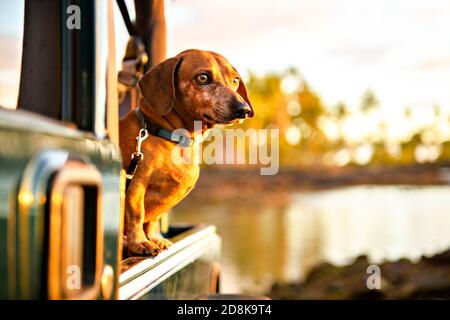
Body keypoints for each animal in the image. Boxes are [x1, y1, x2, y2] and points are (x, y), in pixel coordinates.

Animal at [119, 49, 253, 255]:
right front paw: (140, 242)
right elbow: (136, 214)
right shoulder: (136, 184)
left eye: (235, 80)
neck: (171, 138)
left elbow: (152, 220)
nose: (243, 109)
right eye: (203, 78)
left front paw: (153, 238)